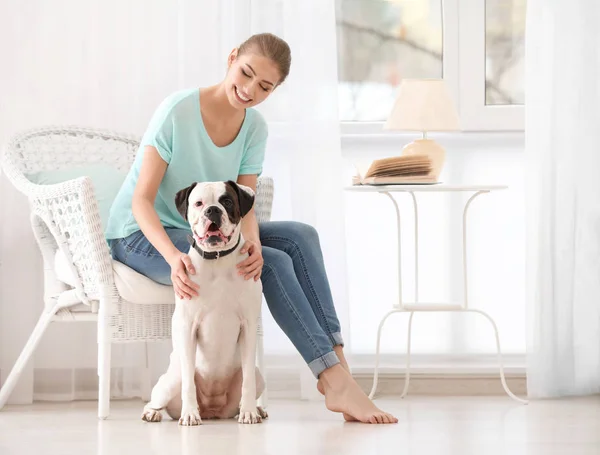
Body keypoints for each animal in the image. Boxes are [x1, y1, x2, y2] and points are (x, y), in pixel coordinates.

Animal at [142, 180, 266, 426]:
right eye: (198, 203)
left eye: (227, 201)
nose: (213, 210)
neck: (217, 259)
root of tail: (213, 411)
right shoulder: (188, 327)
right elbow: (189, 383)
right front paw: (190, 414)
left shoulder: (248, 327)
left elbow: (248, 379)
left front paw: (249, 411)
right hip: (172, 379)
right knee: (157, 398)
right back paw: (153, 412)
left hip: (258, 377)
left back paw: (256, 409)